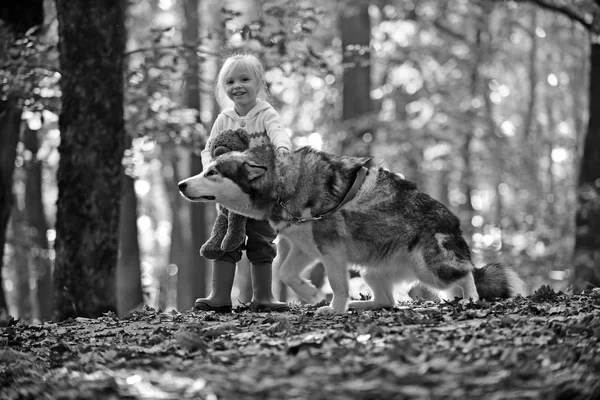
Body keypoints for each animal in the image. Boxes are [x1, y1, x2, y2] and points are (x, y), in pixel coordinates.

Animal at [178, 145, 524, 314]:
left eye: (212, 173)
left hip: (429, 270)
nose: (181, 184)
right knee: (386, 301)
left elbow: (336, 283)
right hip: (371, 270)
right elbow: (286, 274)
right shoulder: (307, 247)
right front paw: (313, 294)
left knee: (466, 276)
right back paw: (362, 304)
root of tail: (455, 229)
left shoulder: (330, 250)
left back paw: (469, 300)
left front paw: (334, 309)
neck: (284, 186)